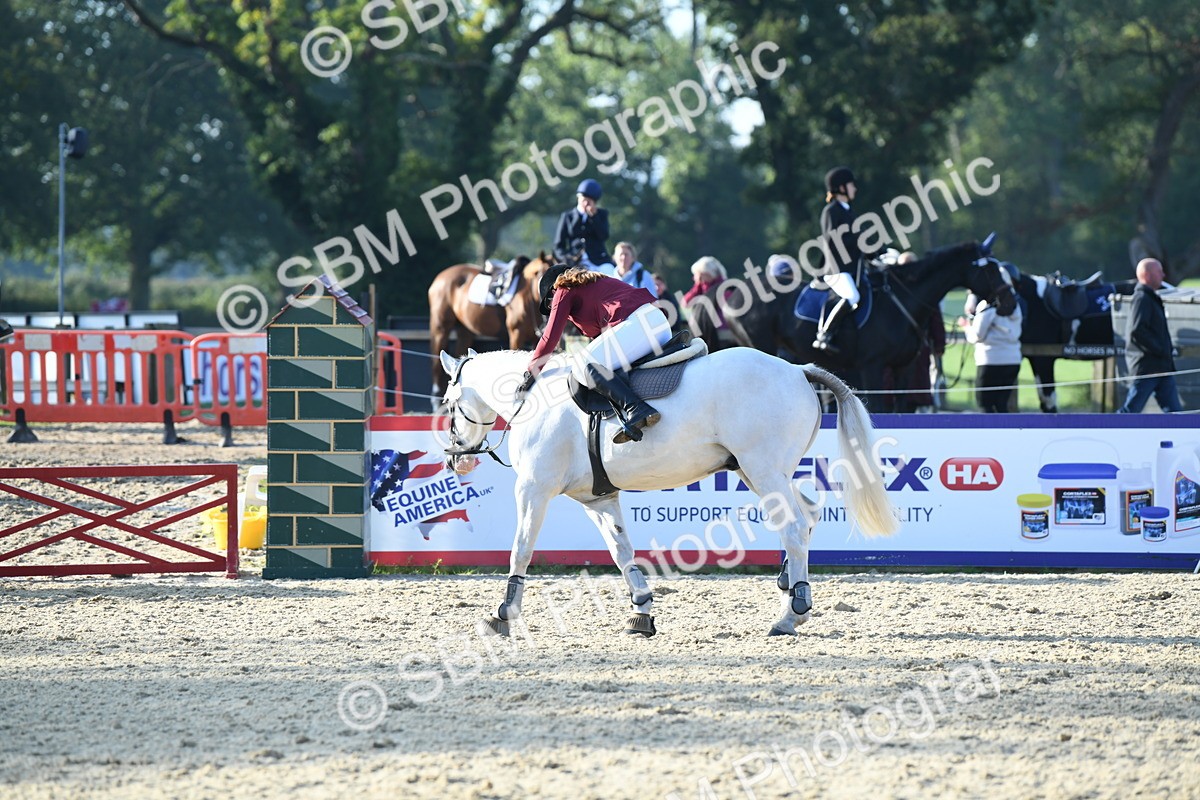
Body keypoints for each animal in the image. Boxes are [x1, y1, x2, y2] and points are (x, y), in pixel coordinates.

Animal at [427, 255, 553, 400]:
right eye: (540, 274)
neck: (527, 296)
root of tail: (440, 277)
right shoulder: (516, 333)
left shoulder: (536, 338)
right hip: (440, 329)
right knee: (436, 364)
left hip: (464, 331)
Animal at [436, 346, 899, 639]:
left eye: (448, 403)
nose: (457, 460)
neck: (531, 400)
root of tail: (796, 369)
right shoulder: (599, 499)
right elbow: (622, 553)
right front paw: (642, 611)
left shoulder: (533, 489)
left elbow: (520, 551)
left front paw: (503, 614)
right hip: (761, 473)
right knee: (808, 514)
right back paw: (789, 585)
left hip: (764, 471)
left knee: (794, 529)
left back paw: (790, 614)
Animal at [714, 240, 1016, 411]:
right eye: (990, 269)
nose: (1011, 303)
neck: (903, 299)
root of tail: (737, 294)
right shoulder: (872, 367)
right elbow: (880, 408)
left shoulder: (903, 367)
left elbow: (900, 408)